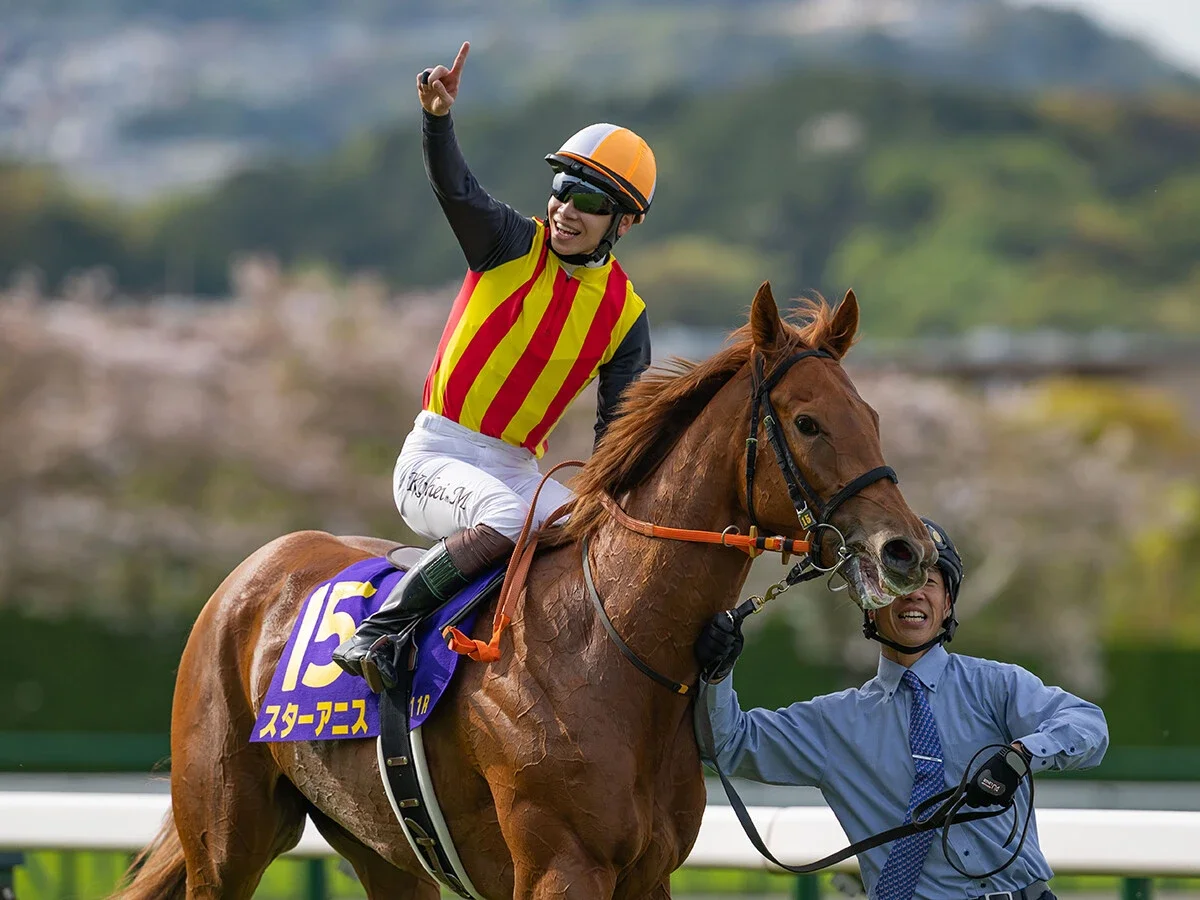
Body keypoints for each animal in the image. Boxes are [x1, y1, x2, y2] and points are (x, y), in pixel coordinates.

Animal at [115, 282, 935, 900]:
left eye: (872, 416)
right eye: (808, 422)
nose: (906, 551)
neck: (609, 647)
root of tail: (249, 574)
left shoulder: (647, 875)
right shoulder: (561, 868)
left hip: (382, 848)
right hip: (226, 839)